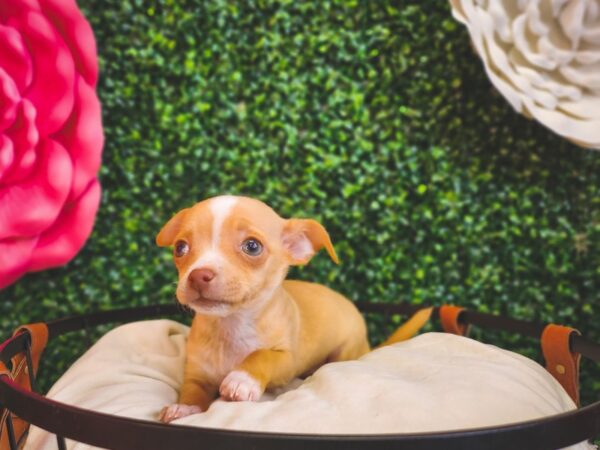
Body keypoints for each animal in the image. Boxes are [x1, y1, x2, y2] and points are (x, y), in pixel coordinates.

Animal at [155, 196, 426, 422]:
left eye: (252, 246)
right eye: (180, 248)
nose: (198, 275)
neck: (231, 326)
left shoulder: (287, 361)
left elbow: (261, 355)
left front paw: (241, 379)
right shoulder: (197, 374)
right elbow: (192, 391)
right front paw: (185, 408)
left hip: (345, 350)